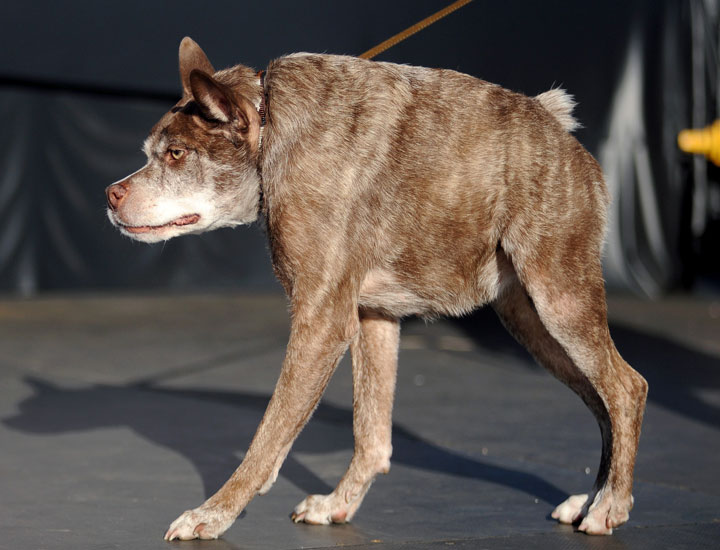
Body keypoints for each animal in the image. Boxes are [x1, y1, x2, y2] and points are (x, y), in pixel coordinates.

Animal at [105, 36, 648, 540]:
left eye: (177, 154)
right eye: (149, 155)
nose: (110, 194)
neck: (271, 125)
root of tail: (560, 131)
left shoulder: (321, 322)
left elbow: (268, 436)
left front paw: (215, 513)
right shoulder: (372, 317)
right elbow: (371, 437)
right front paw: (337, 504)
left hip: (560, 301)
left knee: (627, 389)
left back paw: (609, 506)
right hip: (532, 323)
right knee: (603, 401)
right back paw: (592, 498)